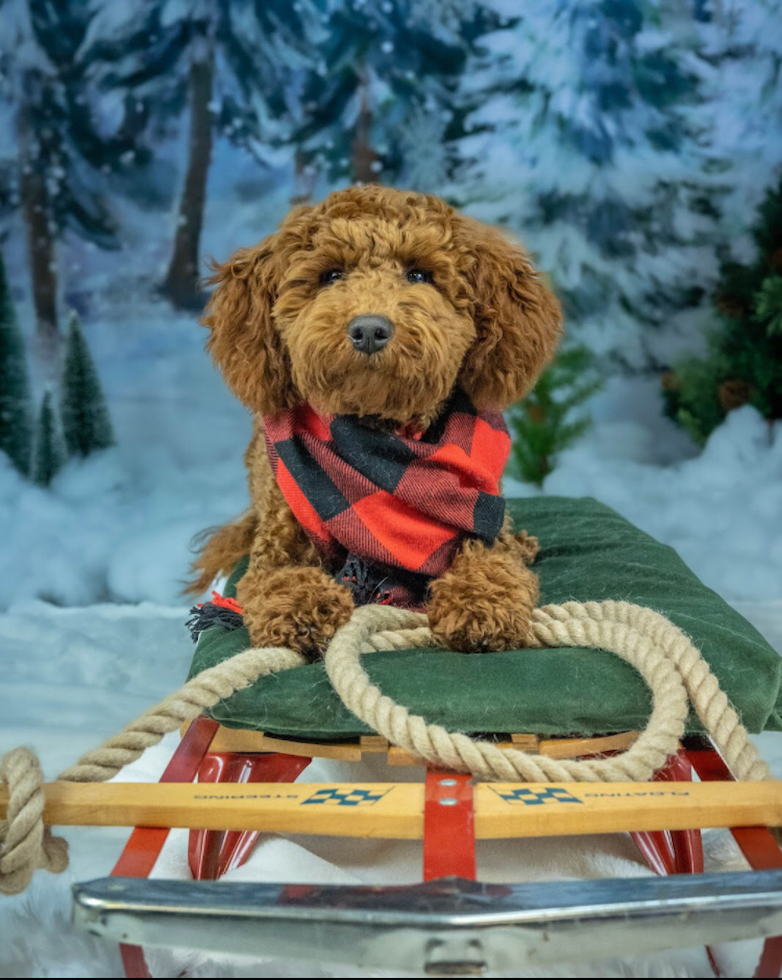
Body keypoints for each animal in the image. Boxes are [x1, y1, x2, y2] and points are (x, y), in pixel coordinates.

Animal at [187, 184, 560, 660]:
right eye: (331, 275)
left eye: (419, 274)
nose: (368, 329)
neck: (381, 440)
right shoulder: (276, 548)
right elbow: (276, 579)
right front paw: (302, 608)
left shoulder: (482, 531)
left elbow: (493, 563)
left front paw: (481, 603)